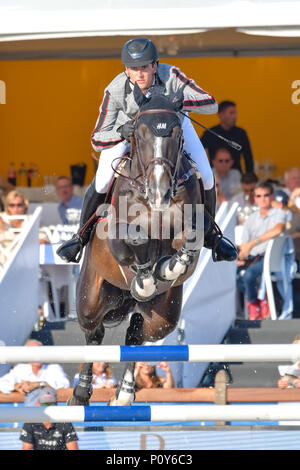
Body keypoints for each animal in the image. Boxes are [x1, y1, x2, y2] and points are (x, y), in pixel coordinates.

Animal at [68, 83, 204, 404]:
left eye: (178, 135)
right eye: (139, 134)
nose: (160, 192)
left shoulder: (191, 226)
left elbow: (189, 241)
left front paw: (165, 270)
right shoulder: (117, 235)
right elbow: (136, 238)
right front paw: (146, 278)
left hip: (163, 318)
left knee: (136, 332)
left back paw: (124, 394)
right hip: (91, 298)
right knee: (93, 334)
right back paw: (80, 394)